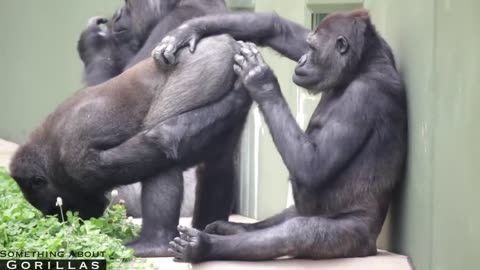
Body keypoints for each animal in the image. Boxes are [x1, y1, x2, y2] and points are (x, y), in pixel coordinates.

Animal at [8, 0, 251, 258]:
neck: (48, 149)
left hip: (204, 65)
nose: (59, 217)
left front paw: (96, 43)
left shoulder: (77, 160)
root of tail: (224, 41)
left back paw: (155, 242)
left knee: (163, 145)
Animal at [155, 8, 408, 262]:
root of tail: (373, 246)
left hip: (355, 237)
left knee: (298, 233)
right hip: (301, 213)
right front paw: (187, 31)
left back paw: (202, 246)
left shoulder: (362, 97)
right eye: (307, 46)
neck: (361, 66)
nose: (303, 60)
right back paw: (232, 229)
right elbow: (278, 29)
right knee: (286, 219)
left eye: (313, 50)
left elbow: (313, 165)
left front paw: (260, 80)